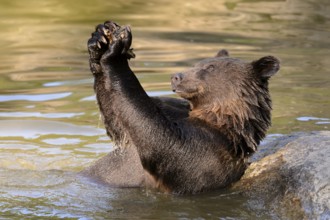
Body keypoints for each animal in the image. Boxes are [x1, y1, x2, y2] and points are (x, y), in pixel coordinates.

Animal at [81, 21, 280, 194]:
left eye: (210, 67)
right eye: (197, 63)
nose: (176, 76)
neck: (219, 117)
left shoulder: (207, 149)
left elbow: (160, 139)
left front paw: (116, 52)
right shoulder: (172, 108)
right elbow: (119, 125)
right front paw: (99, 39)